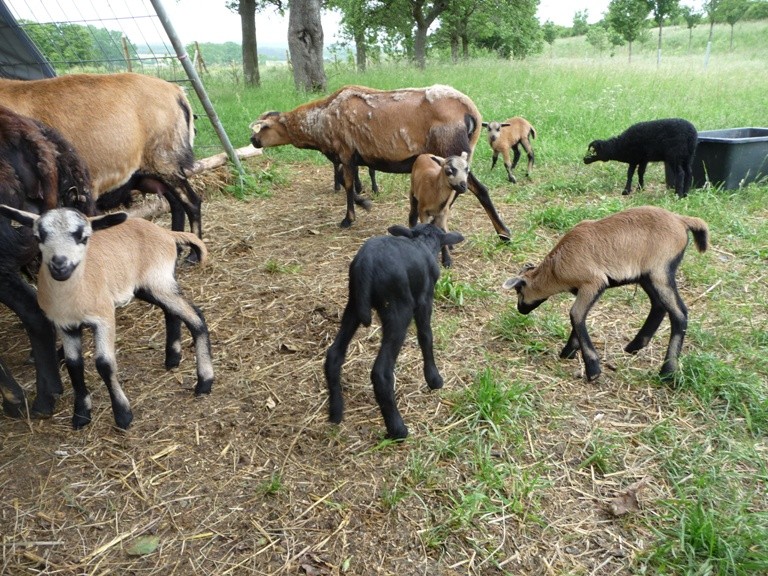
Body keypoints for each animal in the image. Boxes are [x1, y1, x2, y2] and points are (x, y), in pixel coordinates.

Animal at [248, 82, 510, 240]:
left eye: (266, 127)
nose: (252, 140)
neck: (321, 120)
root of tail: (471, 112)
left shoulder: (345, 152)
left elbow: (347, 185)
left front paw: (350, 217)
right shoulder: (352, 157)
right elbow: (350, 183)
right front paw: (363, 203)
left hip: (451, 150)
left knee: (478, 189)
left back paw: (504, 233)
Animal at [322, 223, 464, 438]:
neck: (423, 242)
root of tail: (366, 264)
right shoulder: (425, 299)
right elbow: (426, 336)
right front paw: (434, 379)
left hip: (353, 305)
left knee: (334, 354)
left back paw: (336, 412)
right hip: (398, 309)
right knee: (381, 372)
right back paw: (398, 430)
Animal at [504, 207, 708, 382]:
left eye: (518, 291)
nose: (520, 309)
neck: (556, 268)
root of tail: (681, 220)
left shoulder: (594, 282)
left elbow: (576, 314)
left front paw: (592, 369)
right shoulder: (586, 289)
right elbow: (579, 316)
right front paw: (569, 352)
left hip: (660, 271)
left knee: (679, 314)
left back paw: (667, 372)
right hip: (646, 276)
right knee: (658, 306)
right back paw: (634, 346)